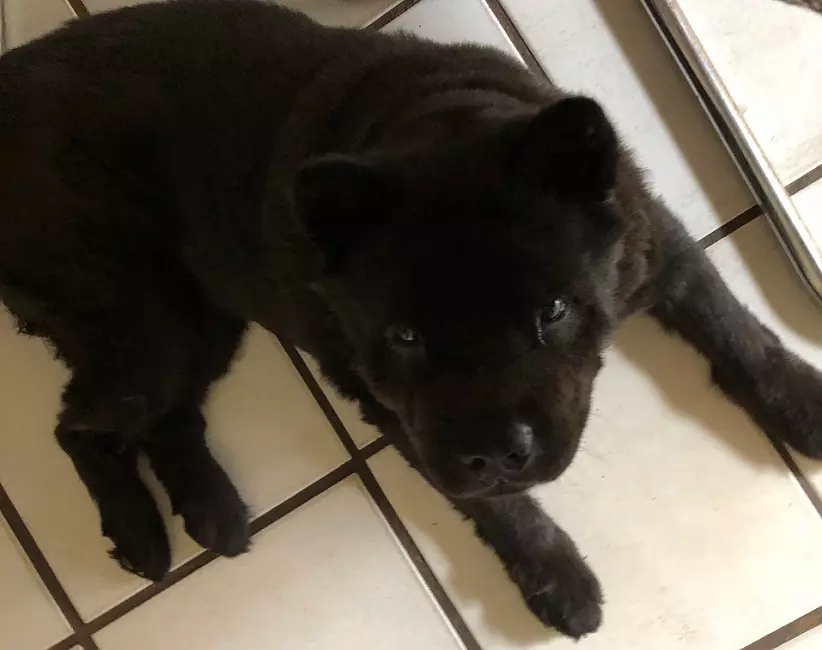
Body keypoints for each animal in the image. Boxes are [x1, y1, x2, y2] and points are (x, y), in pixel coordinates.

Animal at [2, 0, 822, 639]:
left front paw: (800, 401)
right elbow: (496, 507)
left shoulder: (655, 249)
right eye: (405, 337)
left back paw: (212, 510)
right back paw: (141, 533)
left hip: (200, 319)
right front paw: (553, 573)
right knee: (81, 426)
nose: (494, 452)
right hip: (150, 323)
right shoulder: (391, 405)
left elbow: (733, 327)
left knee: (163, 419)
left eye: (553, 310)